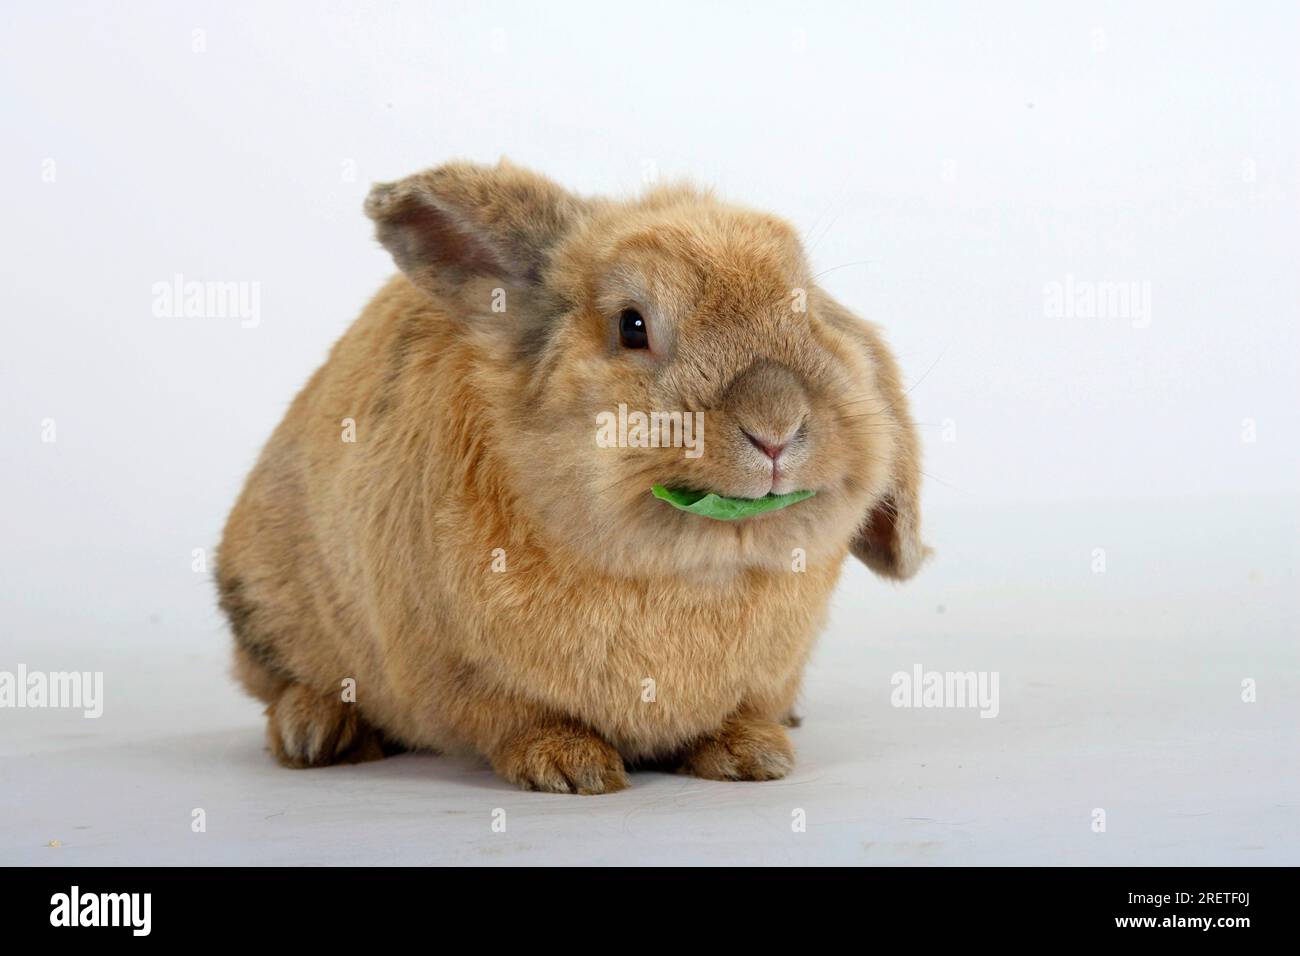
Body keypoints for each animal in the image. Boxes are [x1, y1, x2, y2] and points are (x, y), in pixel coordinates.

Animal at [216, 159, 928, 794]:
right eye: (632, 326)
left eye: (807, 308)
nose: (776, 425)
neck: (692, 569)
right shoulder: (462, 672)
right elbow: (513, 719)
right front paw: (567, 766)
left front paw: (752, 754)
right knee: (283, 683)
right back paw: (315, 733)